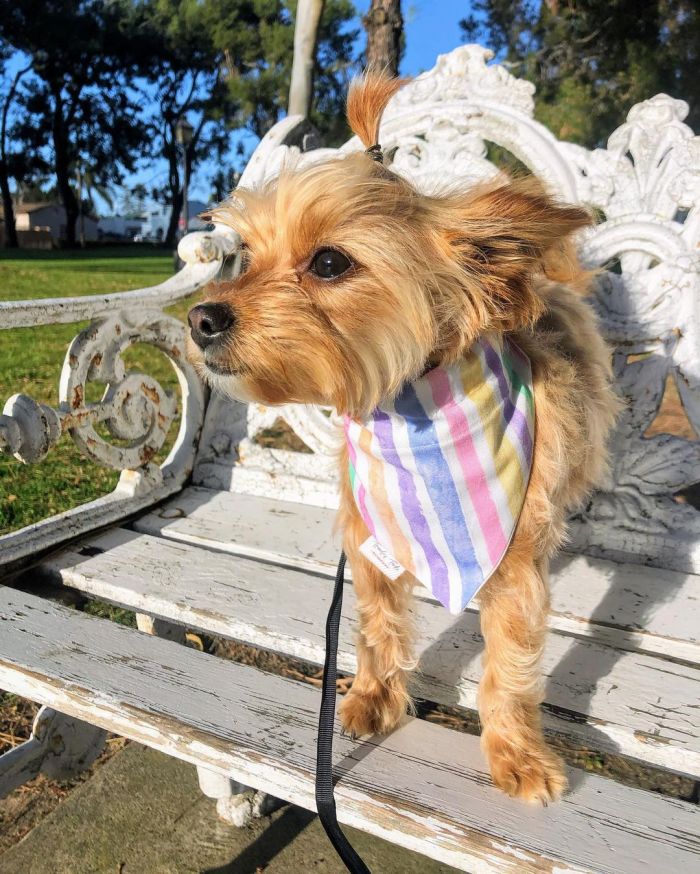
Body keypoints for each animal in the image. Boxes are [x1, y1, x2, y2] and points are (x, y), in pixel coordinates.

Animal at [186, 75, 616, 804]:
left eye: (330, 261)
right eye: (244, 253)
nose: (199, 317)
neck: (405, 410)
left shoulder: (515, 565)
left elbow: (510, 662)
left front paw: (517, 754)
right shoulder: (369, 529)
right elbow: (378, 619)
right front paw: (371, 697)